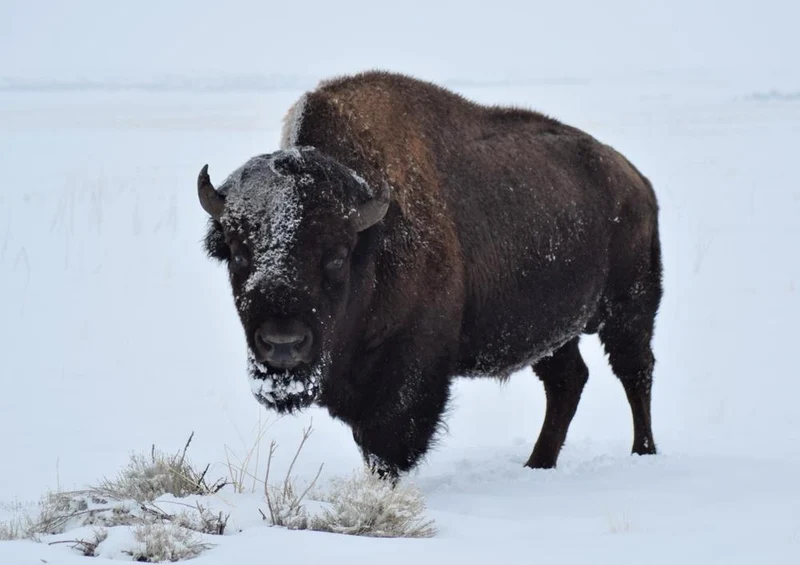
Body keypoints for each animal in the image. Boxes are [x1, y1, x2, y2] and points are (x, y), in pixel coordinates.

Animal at [199, 71, 663, 478]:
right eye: (237, 253)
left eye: (337, 256)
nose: (283, 343)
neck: (372, 235)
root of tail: (635, 180)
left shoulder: (411, 365)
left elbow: (388, 441)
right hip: (551, 330)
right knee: (568, 381)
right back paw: (538, 464)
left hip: (630, 309)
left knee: (635, 372)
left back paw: (643, 453)